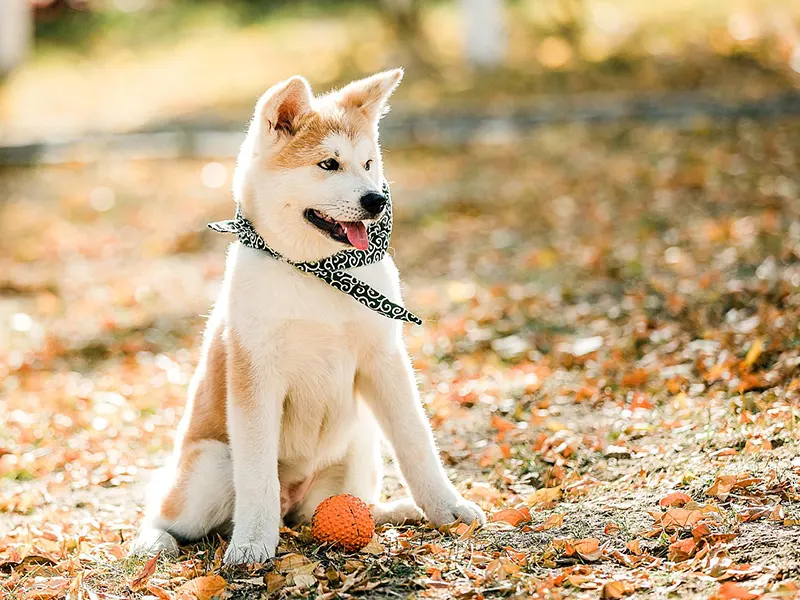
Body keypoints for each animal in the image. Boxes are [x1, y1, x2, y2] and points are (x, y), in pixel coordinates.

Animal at [128, 70, 484, 568]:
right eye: (328, 165)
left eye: (369, 163)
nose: (375, 200)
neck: (319, 272)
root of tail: (293, 502)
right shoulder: (255, 377)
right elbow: (257, 474)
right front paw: (251, 545)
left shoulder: (384, 360)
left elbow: (416, 442)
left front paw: (447, 508)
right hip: (211, 470)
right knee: (170, 513)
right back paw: (155, 541)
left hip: (359, 446)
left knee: (336, 507)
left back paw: (393, 510)